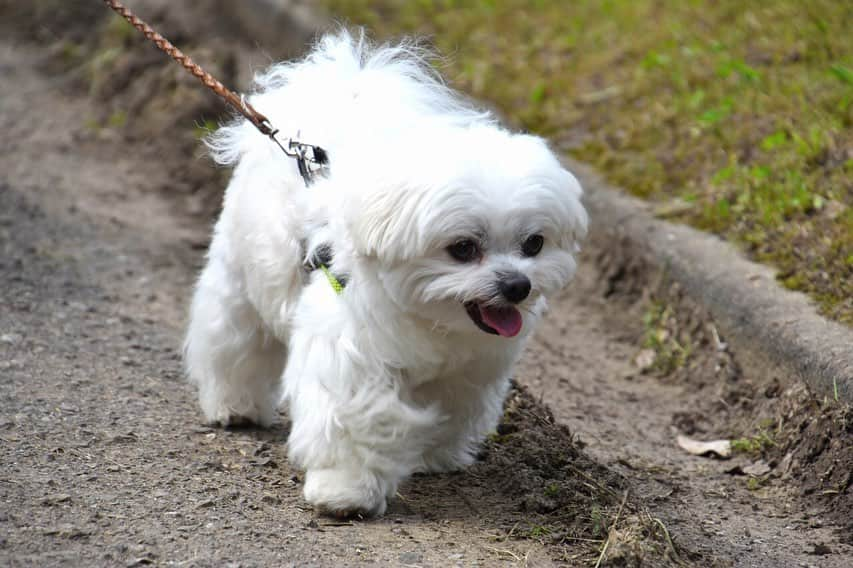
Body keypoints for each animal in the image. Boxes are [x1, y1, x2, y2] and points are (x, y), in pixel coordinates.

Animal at [185, 32, 584, 520]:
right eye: (463, 248)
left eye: (534, 244)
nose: (516, 285)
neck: (431, 320)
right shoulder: (350, 356)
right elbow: (354, 419)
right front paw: (345, 491)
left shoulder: (468, 372)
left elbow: (453, 411)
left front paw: (435, 457)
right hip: (241, 278)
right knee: (233, 338)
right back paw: (233, 404)